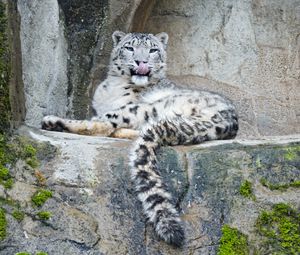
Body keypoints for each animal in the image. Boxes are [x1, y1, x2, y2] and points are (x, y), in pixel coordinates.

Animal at [42, 30, 239, 247]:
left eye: (153, 50)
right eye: (129, 48)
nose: (141, 61)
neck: (112, 87)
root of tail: (226, 120)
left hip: (146, 107)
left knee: (104, 124)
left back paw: (54, 122)